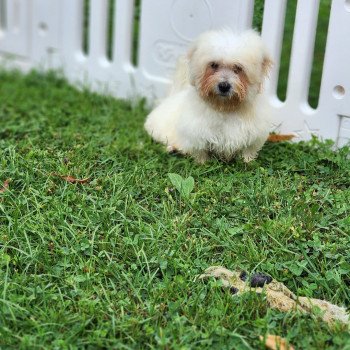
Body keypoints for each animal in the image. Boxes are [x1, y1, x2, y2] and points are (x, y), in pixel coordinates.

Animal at [144, 28, 272, 163]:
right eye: (214, 65)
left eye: (238, 68)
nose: (224, 86)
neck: (225, 107)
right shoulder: (196, 132)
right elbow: (200, 150)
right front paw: (202, 162)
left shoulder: (254, 133)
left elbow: (248, 150)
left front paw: (247, 161)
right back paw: (172, 148)